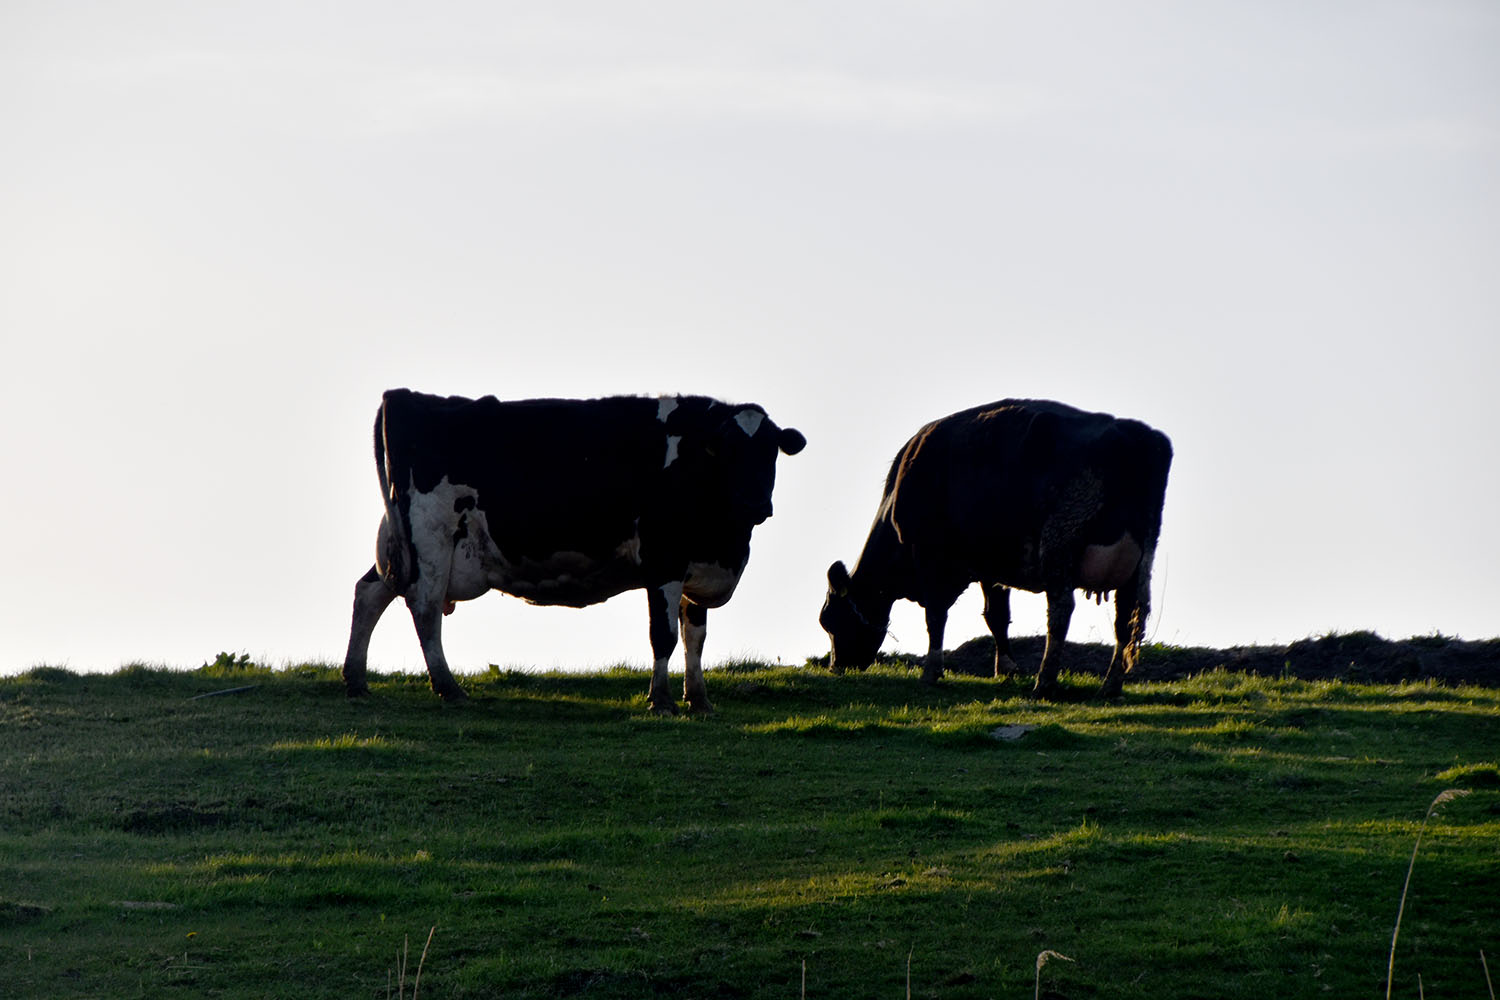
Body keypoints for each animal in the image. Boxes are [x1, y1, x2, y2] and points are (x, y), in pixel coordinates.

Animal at [342, 388, 805, 713]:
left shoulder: (695, 565)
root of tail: (406, 397)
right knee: (424, 608)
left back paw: (356, 680)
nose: (755, 503)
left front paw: (700, 700)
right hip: (432, 539)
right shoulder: (663, 559)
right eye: (729, 451)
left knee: (371, 592)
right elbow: (664, 635)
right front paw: (662, 701)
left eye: (771, 451)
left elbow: (696, 636)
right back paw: (448, 687)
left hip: (403, 546)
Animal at [818, 399, 1171, 698]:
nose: (837, 666)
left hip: (1060, 541)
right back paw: (1109, 686)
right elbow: (997, 616)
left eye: (830, 620)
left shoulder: (930, 555)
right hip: (1140, 560)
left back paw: (1045, 683)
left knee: (1060, 611)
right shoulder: (991, 566)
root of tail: (1134, 432)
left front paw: (932, 672)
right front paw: (1007, 669)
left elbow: (936, 615)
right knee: (1126, 618)